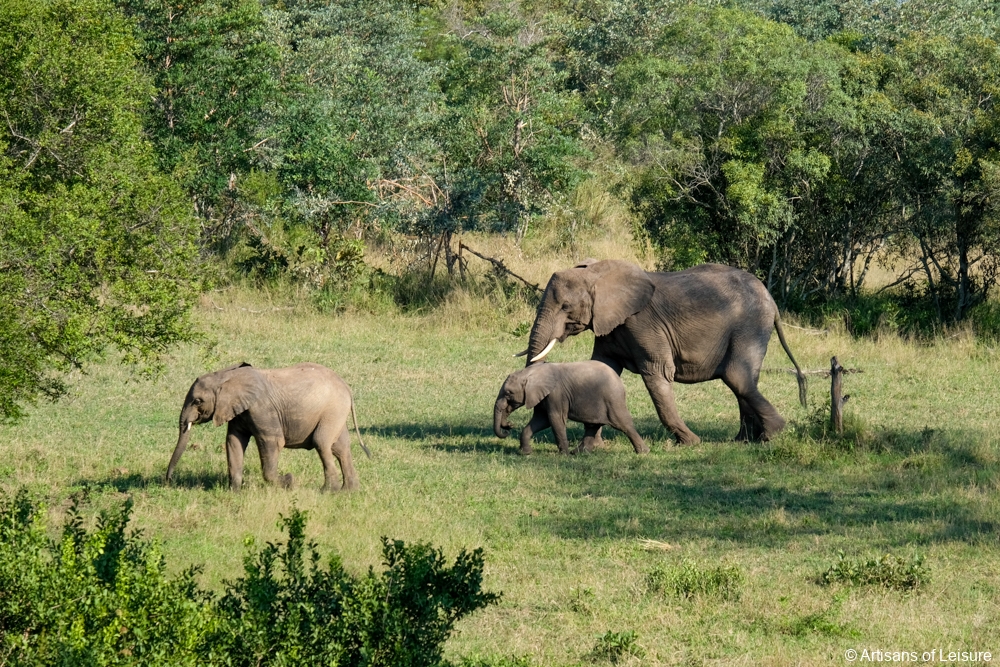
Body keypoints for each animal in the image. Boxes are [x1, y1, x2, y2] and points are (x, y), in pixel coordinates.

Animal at [166, 362, 374, 494]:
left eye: (197, 401)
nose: (167, 481)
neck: (226, 375)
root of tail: (347, 387)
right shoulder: (238, 410)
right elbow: (233, 442)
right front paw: (235, 492)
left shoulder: (262, 408)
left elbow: (272, 442)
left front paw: (289, 481)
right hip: (336, 412)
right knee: (340, 447)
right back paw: (349, 491)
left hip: (333, 409)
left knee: (321, 443)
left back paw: (328, 491)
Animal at [494, 362, 648, 456]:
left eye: (508, 393)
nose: (509, 426)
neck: (530, 372)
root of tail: (619, 381)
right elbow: (541, 420)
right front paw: (525, 453)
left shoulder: (556, 394)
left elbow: (555, 419)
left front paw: (564, 455)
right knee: (592, 425)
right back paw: (579, 453)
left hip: (613, 400)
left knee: (623, 424)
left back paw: (643, 452)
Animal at [516, 260, 804, 444]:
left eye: (566, 306)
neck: (598, 273)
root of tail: (772, 301)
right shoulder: (610, 325)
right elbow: (602, 368)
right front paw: (591, 447)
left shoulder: (643, 324)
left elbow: (659, 373)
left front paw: (691, 443)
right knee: (742, 381)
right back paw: (743, 441)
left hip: (750, 326)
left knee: (737, 377)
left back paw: (771, 436)